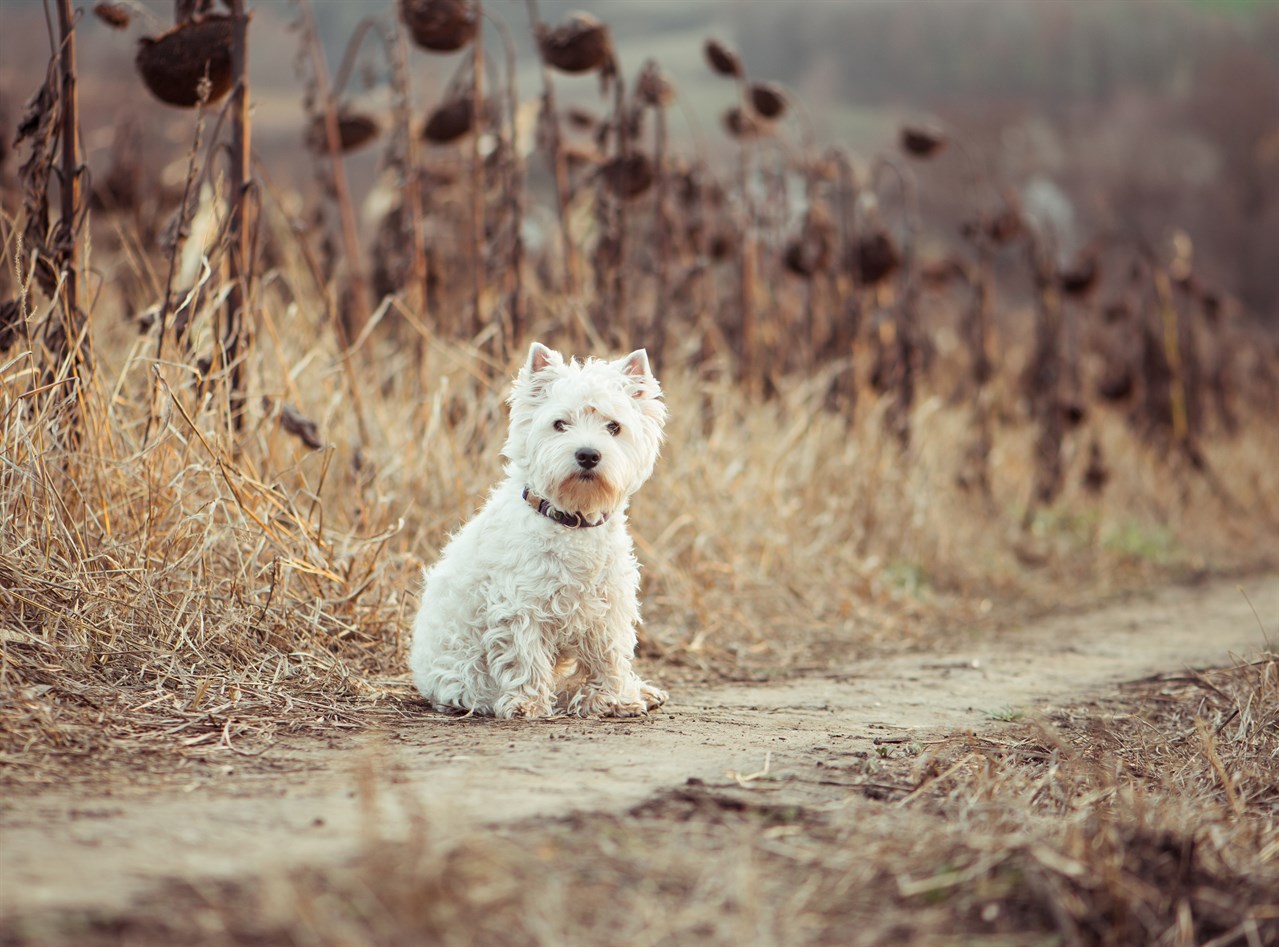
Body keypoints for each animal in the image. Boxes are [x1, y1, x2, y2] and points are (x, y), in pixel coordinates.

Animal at [409, 340, 670, 716]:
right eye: (560, 423)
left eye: (613, 427)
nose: (588, 455)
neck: (573, 520)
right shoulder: (520, 605)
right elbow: (525, 655)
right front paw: (526, 703)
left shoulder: (608, 605)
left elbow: (609, 656)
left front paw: (615, 699)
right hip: (462, 678)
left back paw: (640, 692)